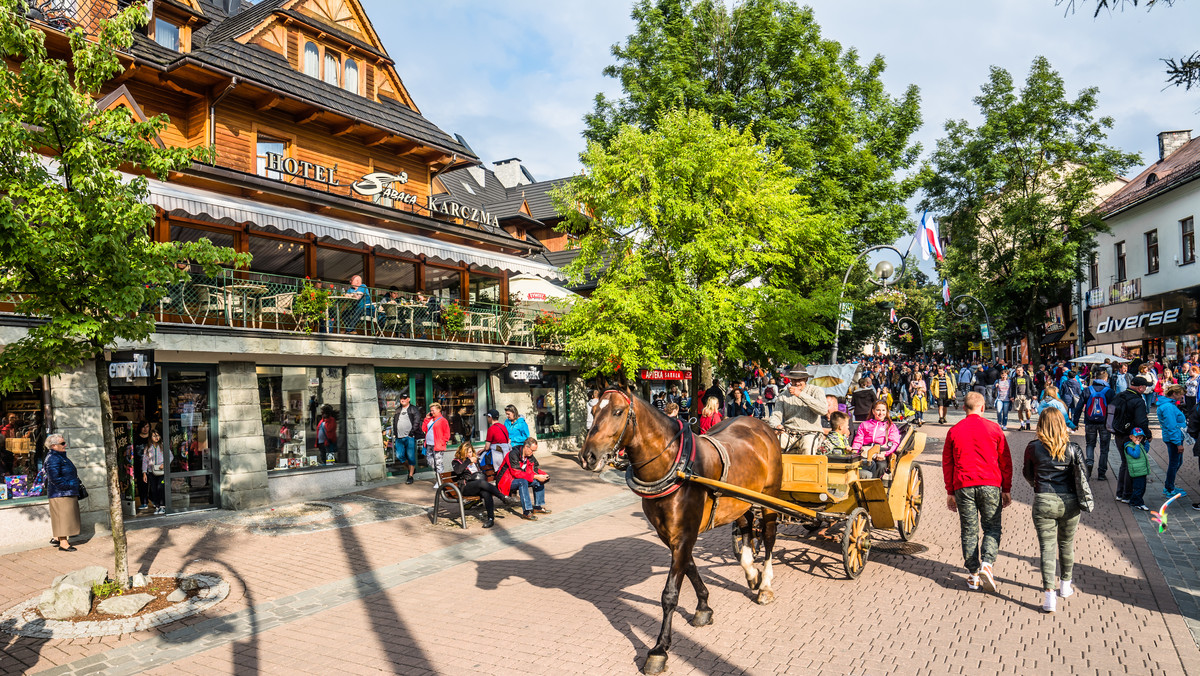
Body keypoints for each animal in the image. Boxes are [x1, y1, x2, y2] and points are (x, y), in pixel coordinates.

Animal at [578, 389, 782, 672]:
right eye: (594, 409)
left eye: (617, 412)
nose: (588, 457)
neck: (675, 467)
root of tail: (760, 425)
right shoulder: (670, 534)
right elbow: (690, 567)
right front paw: (704, 606)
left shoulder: (684, 534)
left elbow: (670, 593)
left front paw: (659, 649)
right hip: (739, 499)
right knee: (746, 525)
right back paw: (751, 571)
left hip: (770, 495)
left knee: (770, 535)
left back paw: (765, 585)